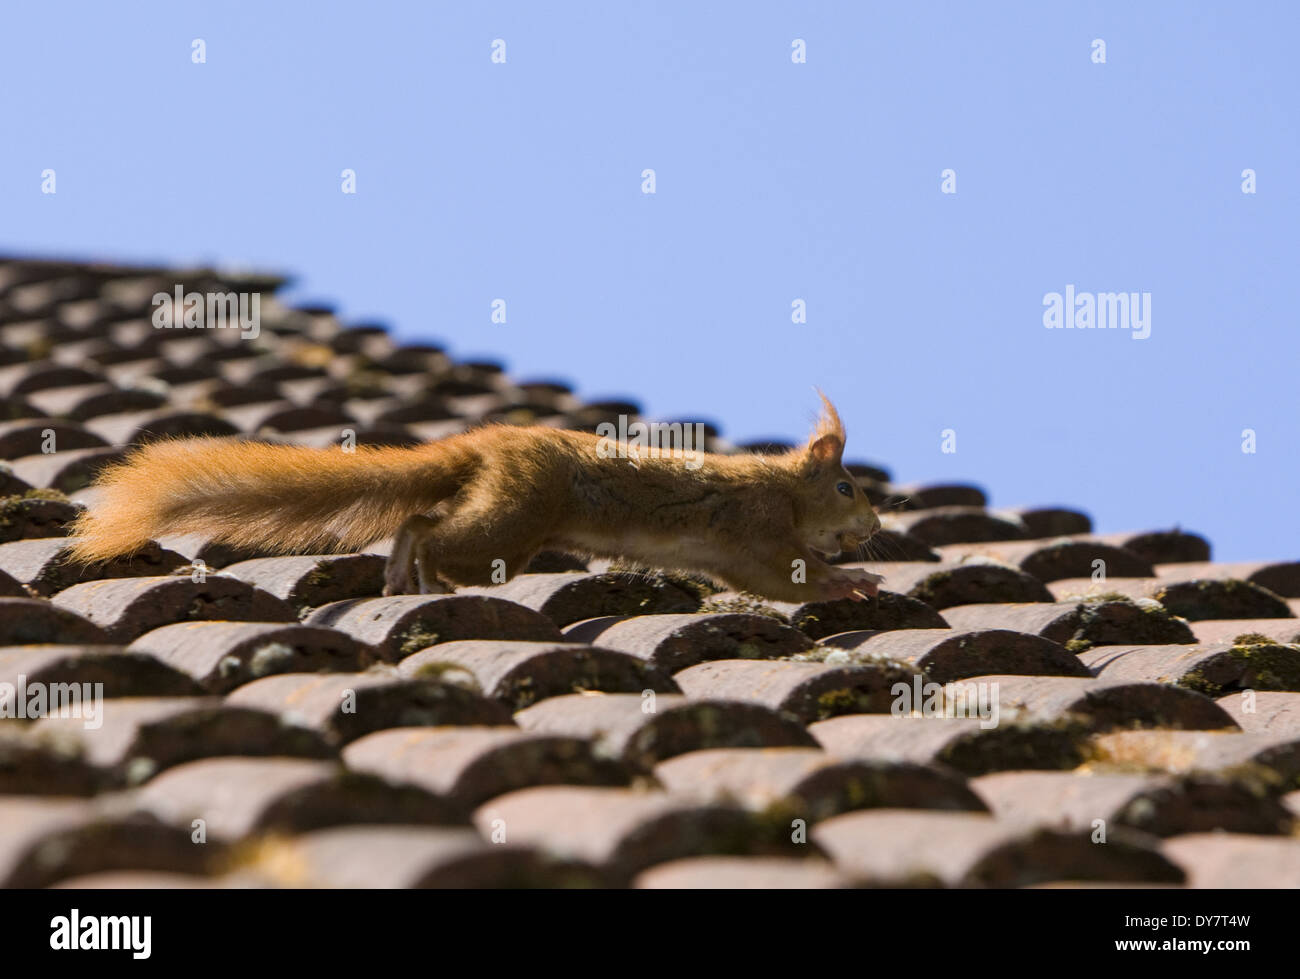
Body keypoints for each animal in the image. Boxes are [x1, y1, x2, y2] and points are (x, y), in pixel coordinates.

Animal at [68, 393, 885, 603]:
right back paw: (425, 575)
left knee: (420, 516)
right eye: (846, 486)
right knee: (435, 530)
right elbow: (781, 575)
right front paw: (850, 580)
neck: (782, 486)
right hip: (512, 524)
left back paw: (400, 574)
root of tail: (492, 446)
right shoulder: (751, 528)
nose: (875, 526)